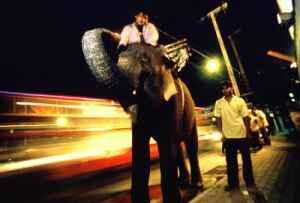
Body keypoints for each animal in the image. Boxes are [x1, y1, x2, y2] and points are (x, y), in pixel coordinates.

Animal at [81, 28, 204, 203]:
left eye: (144, 66)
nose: (119, 37)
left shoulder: (172, 100)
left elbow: (166, 145)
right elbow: (140, 149)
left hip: (191, 113)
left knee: (191, 144)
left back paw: (197, 184)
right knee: (178, 146)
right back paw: (184, 183)